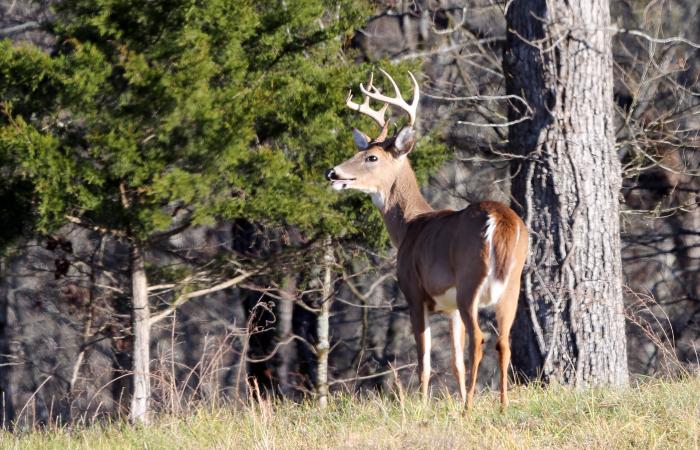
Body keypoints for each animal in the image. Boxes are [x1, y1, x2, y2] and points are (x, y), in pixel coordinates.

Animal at [326, 69, 528, 408]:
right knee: (503, 342)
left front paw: (422, 405)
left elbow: (425, 360)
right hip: (512, 283)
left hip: (470, 279)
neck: (409, 227)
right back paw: (501, 406)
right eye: (358, 151)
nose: (333, 173)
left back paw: (469, 409)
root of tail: (499, 219)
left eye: (371, 158)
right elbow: (455, 363)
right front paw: (455, 399)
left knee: (480, 339)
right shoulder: (450, 308)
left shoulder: (414, 292)